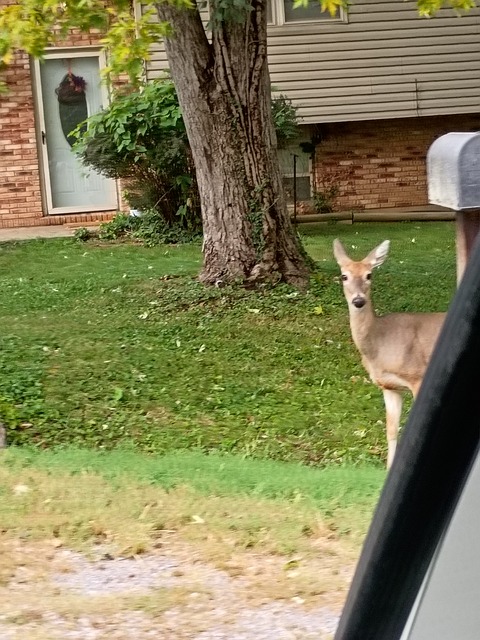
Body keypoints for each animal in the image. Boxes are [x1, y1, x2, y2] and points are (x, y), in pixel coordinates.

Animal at [333, 239, 446, 469]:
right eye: (344, 276)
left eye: (369, 275)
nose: (358, 301)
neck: (380, 344)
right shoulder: (389, 386)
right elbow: (391, 430)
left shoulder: (418, 376)